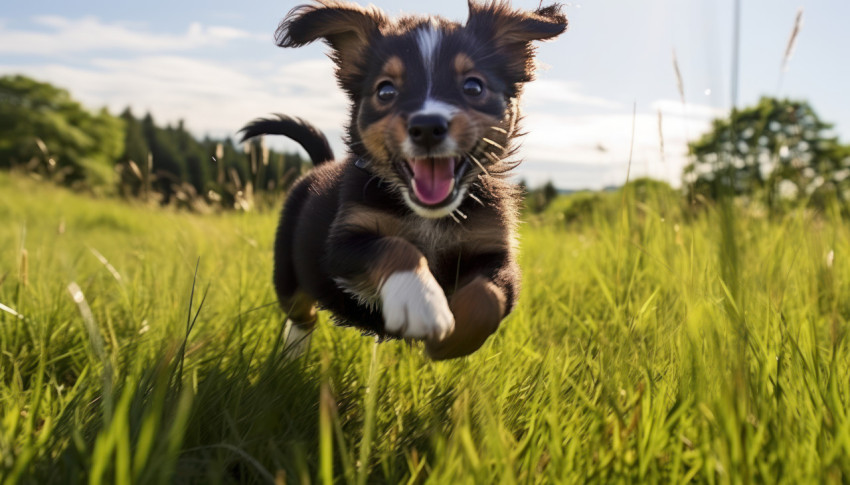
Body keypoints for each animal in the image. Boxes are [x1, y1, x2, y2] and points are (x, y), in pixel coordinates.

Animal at [242, 0, 568, 360]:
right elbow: (394, 246)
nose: (427, 126)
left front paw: (451, 340)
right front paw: (421, 301)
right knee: (301, 315)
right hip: (287, 271)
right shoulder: (342, 245)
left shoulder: (497, 254)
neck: (429, 217)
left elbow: (487, 298)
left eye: (473, 87)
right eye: (386, 90)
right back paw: (291, 357)